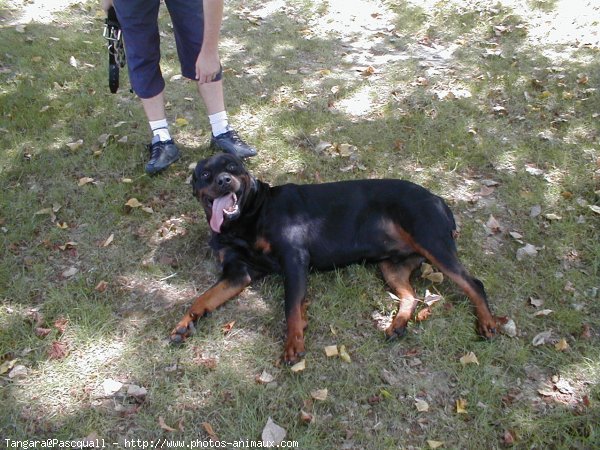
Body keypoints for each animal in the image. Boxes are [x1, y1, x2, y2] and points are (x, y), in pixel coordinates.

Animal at [170, 153, 496, 364]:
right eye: (205, 174)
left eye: (233, 167)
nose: (225, 180)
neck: (244, 220)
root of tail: (439, 200)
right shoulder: (238, 272)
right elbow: (201, 299)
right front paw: (184, 323)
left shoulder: (294, 258)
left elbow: (290, 308)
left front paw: (293, 343)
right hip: (391, 266)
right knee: (410, 295)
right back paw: (398, 325)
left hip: (433, 243)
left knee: (474, 283)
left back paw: (487, 323)